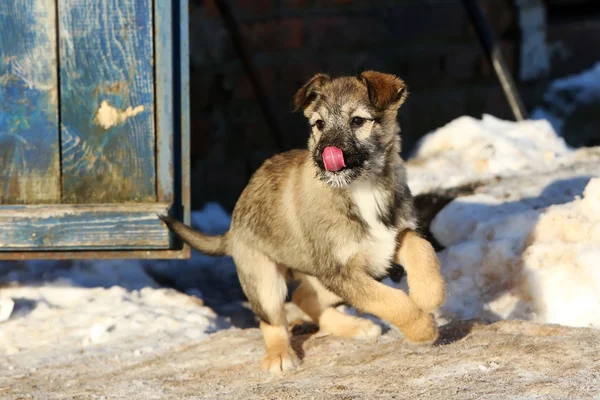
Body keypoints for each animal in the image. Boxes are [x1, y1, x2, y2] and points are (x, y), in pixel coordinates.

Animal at [159, 71, 446, 376]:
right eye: (318, 124)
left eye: (358, 121)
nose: (325, 153)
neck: (362, 188)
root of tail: (233, 226)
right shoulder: (340, 271)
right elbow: (389, 301)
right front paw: (423, 328)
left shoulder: (389, 240)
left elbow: (421, 248)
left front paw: (429, 294)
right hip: (265, 279)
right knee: (273, 320)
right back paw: (280, 355)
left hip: (322, 276)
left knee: (303, 297)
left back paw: (354, 326)